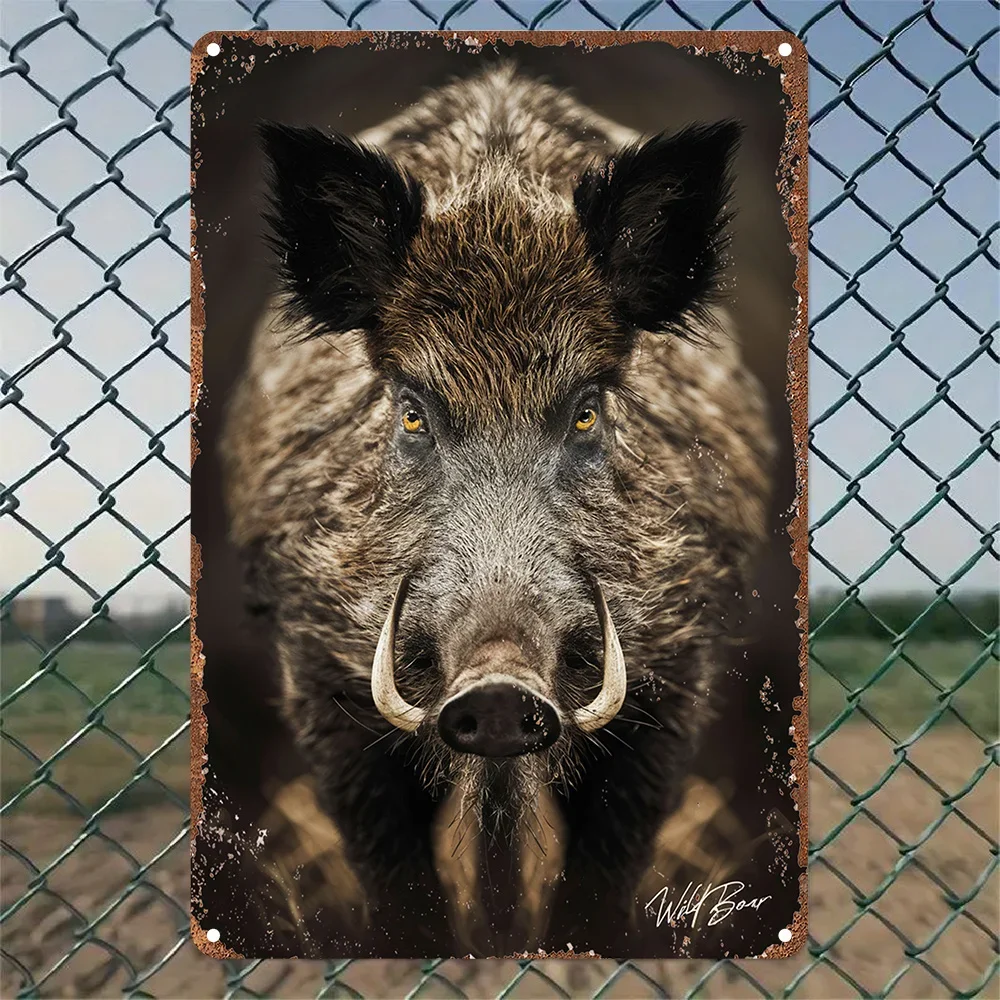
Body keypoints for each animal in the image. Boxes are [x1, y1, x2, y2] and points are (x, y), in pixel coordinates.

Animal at [219, 61, 775, 958]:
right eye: (412, 410)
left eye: (586, 410)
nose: (501, 688)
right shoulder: (313, 662)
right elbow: (394, 869)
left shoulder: (678, 666)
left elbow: (606, 863)